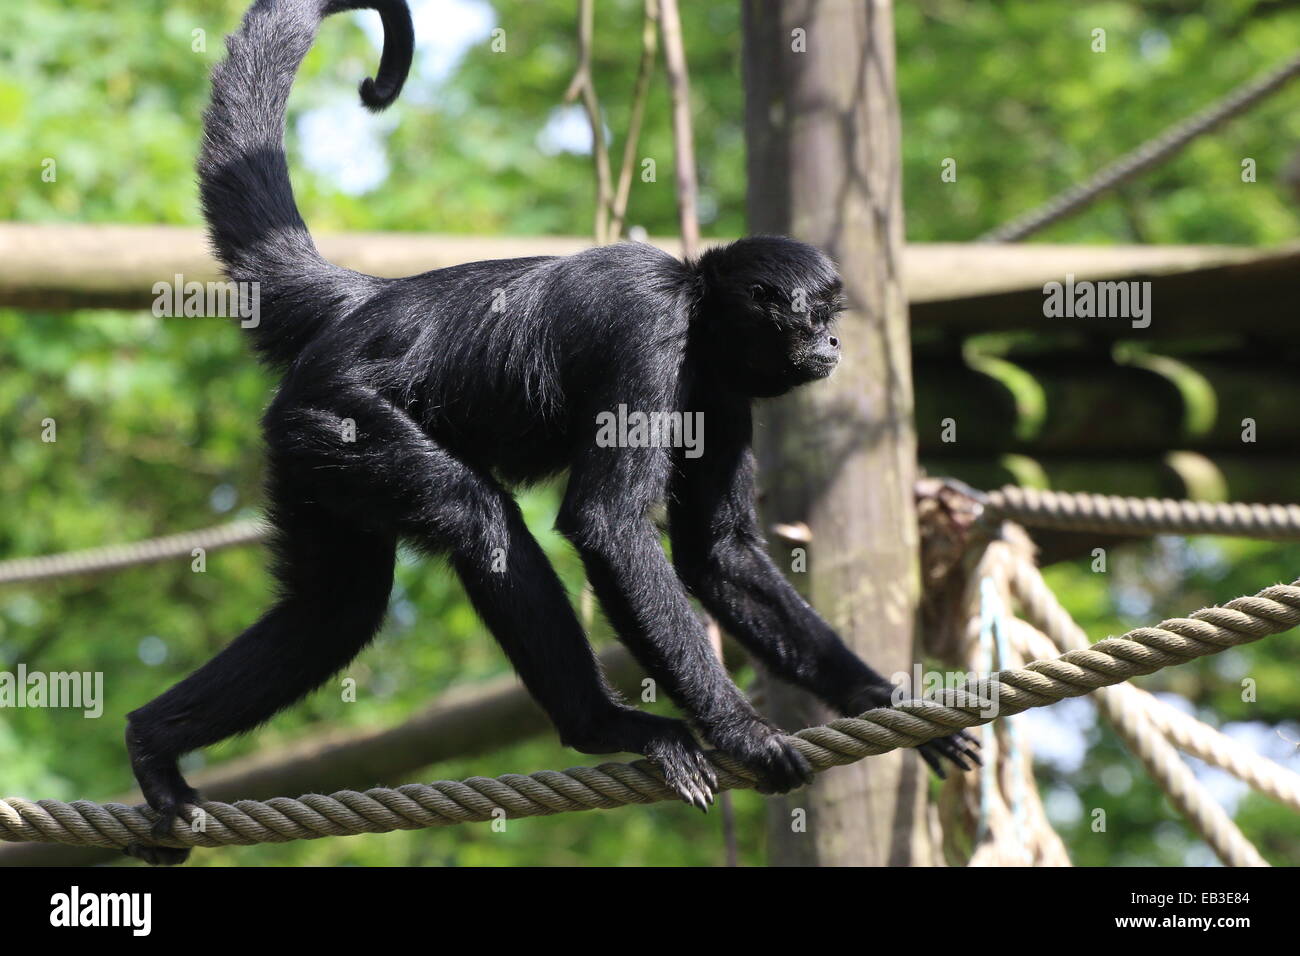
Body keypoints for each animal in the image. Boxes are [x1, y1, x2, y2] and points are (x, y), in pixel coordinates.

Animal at [124, 0, 977, 868]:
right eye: (820, 314)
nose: (834, 342)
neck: (696, 310)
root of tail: (366, 302)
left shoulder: (723, 391)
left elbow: (718, 556)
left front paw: (879, 694)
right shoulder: (648, 334)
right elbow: (607, 525)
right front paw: (745, 735)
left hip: (306, 450)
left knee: (335, 611)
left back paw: (152, 743)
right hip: (338, 416)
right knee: (473, 518)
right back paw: (604, 727)